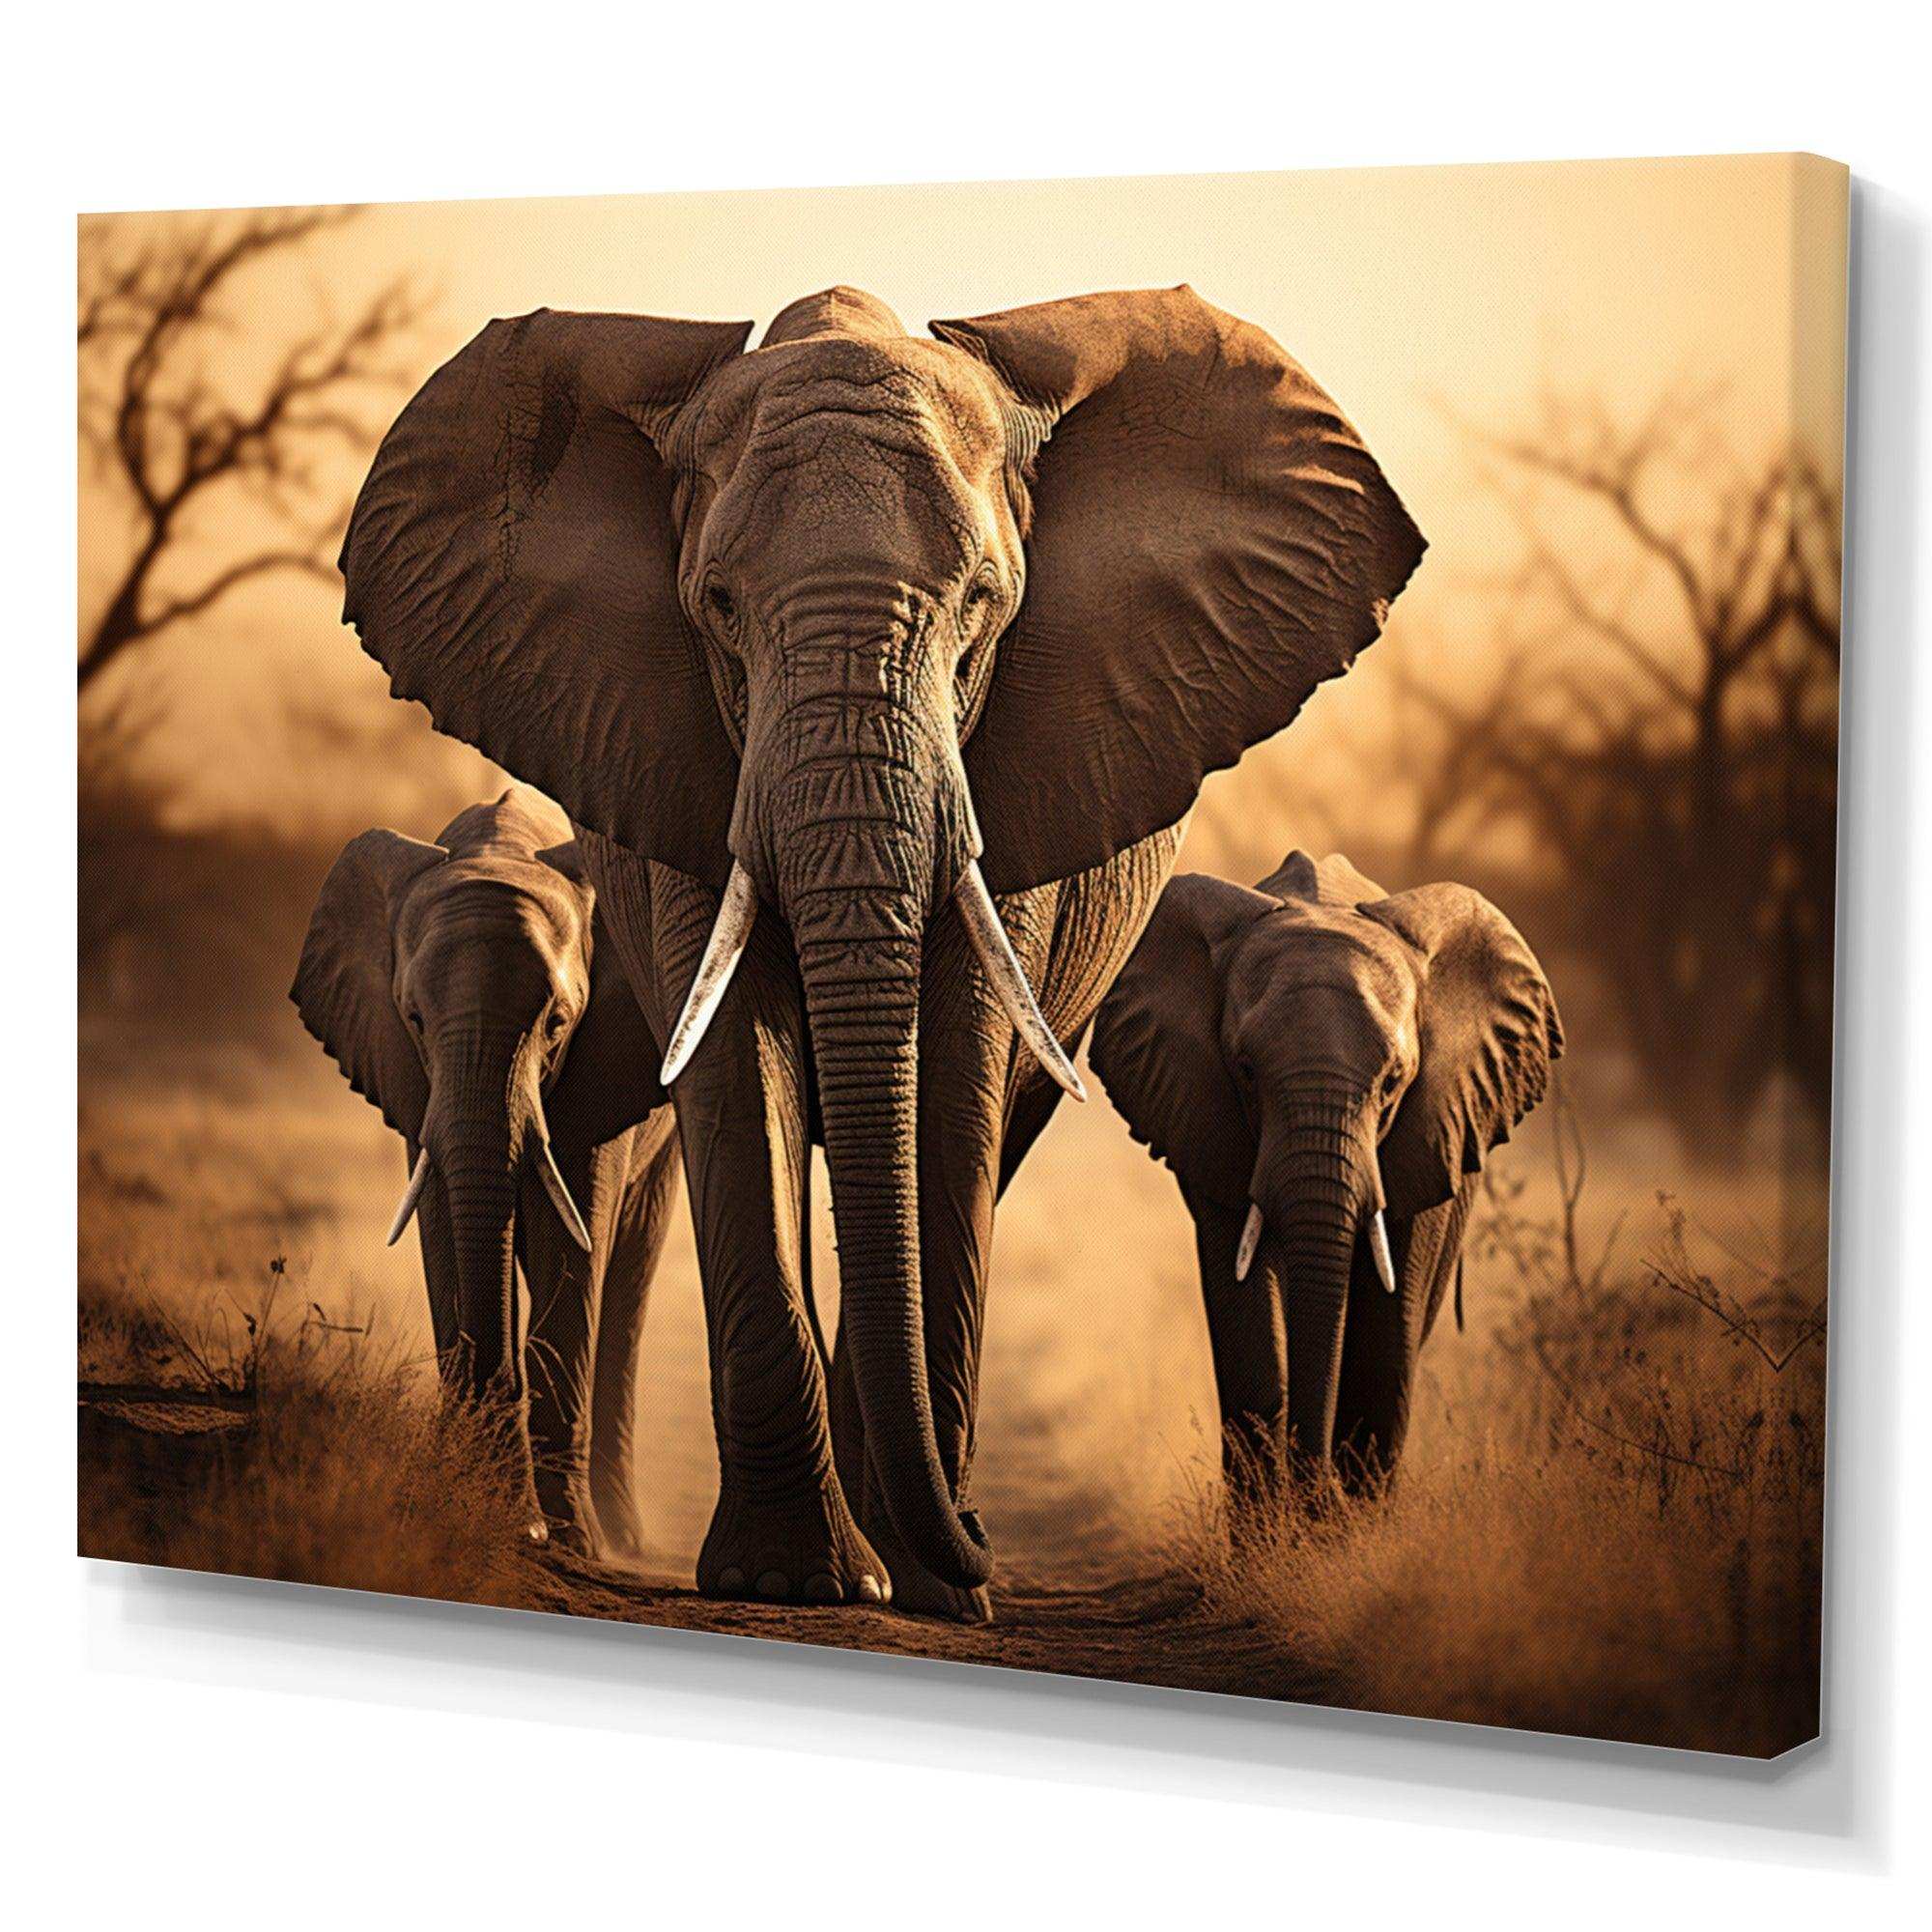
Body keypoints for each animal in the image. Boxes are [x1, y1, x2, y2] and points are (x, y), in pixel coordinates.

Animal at [292, 785, 680, 1558]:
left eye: (558, 1024)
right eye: (413, 1017)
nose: (524, 1521)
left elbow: (574, 1240)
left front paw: (567, 1538)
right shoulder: (413, 1077)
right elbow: (443, 1220)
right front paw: (475, 1497)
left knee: (627, 1274)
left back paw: (621, 1538)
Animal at [337, 283, 1425, 1614]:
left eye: (982, 605)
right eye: (717, 606)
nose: (985, 1549)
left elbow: (951, 1078)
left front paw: (927, 1582)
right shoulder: (672, 755)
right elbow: (738, 1065)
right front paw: (793, 1576)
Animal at [1091, 850, 1561, 1519]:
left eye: (1394, 1081)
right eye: (1245, 1071)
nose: (1318, 1494)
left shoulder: (1430, 1129)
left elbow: (1389, 1320)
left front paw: (1345, 1528)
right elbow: (1245, 1311)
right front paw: (1273, 1533)